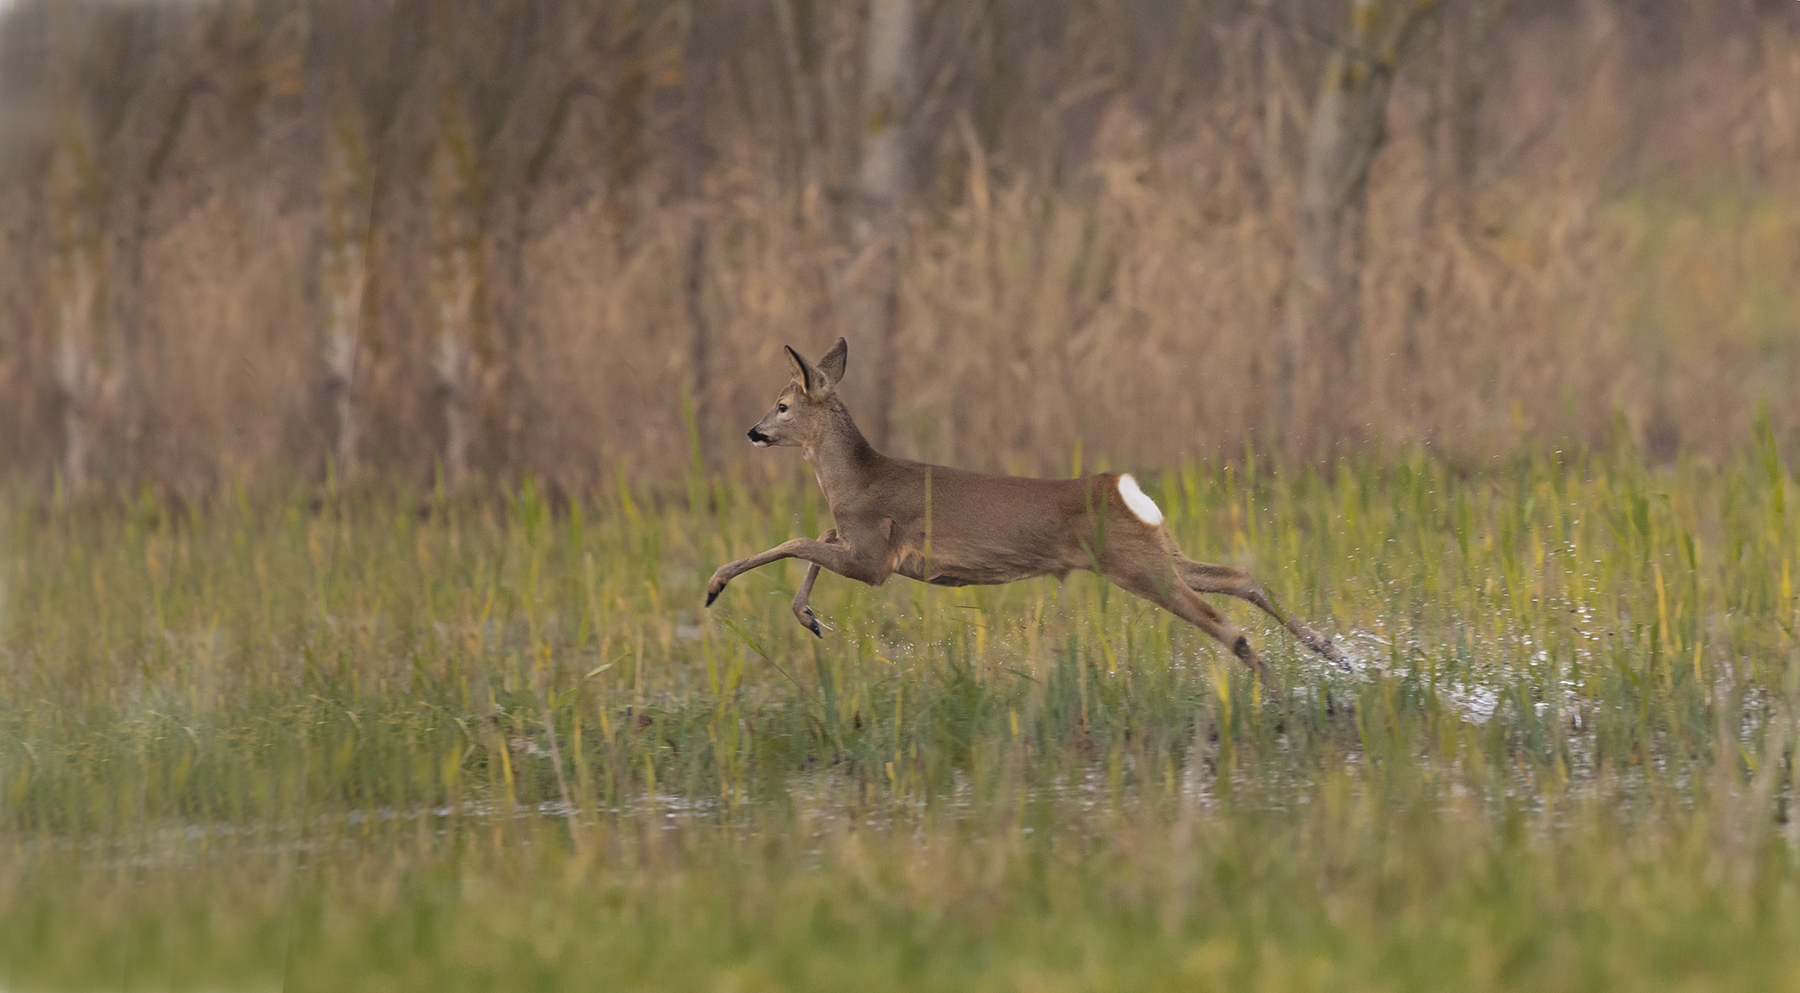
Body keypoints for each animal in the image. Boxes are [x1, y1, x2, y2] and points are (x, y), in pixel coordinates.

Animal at [704, 338, 1348, 683]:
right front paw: (808, 618)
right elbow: (811, 539)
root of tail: (1123, 488)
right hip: (1156, 550)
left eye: (782, 405)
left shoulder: (876, 557)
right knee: (1240, 577)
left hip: (1134, 564)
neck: (854, 479)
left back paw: (1273, 681)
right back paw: (1330, 654)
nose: (754, 432)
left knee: (1220, 620)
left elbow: (795, 541)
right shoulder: (857, 541)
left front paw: (715, 585)